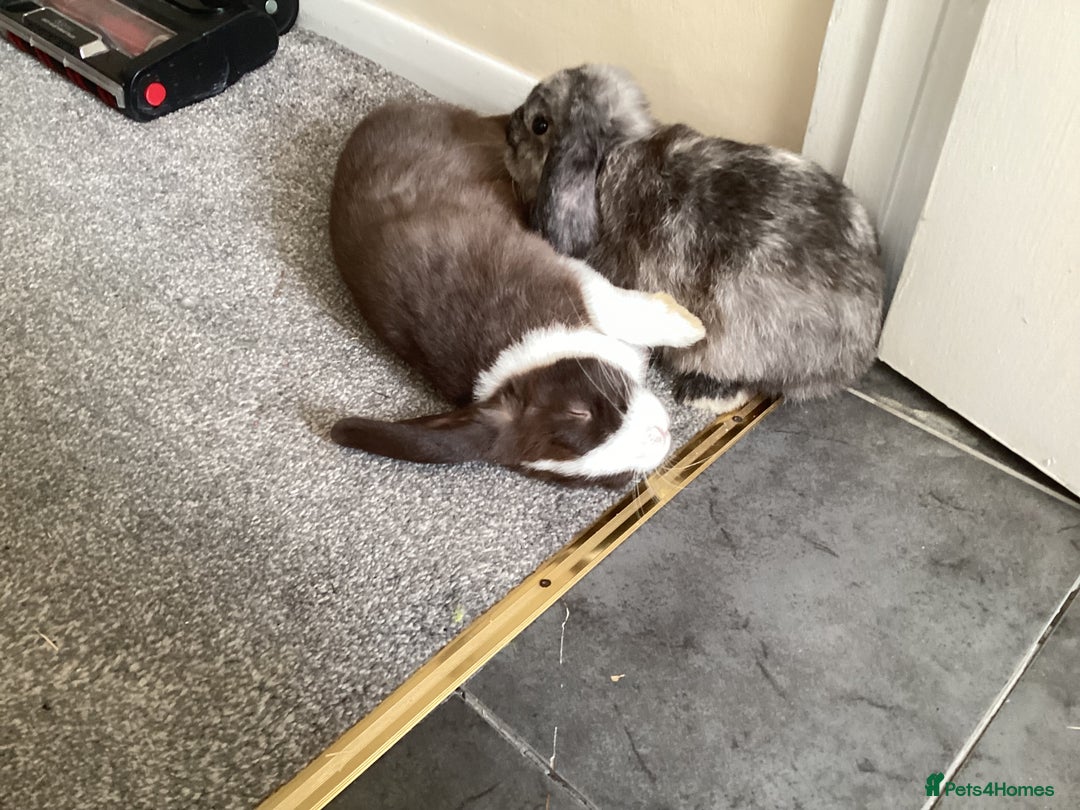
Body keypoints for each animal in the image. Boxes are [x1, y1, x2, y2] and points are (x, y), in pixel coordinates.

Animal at [328, 101, 707, 488]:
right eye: (602, 481)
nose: (659, 435)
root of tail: (381, 113)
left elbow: (613, 308)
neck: (527, 357)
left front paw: (690, 327)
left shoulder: (560, 275)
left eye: (578, 411)